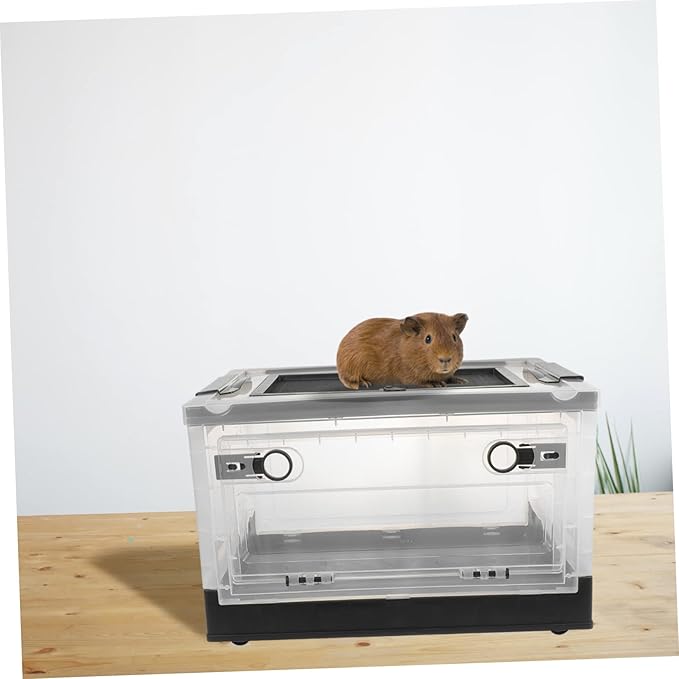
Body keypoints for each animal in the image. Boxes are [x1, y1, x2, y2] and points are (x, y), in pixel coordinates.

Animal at [336, 312, 468, 389]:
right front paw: (437, 384)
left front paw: (461, 381)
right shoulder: (407, 375)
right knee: (347, 380)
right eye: (428, 338)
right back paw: (363, 384)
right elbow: (420, 381)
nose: (445, 359)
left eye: (454, 337)